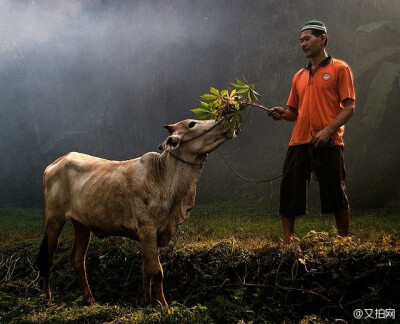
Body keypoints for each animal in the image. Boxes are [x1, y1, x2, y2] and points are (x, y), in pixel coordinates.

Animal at [36, 119, 234, 306]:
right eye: (192, 123)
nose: (226, 121)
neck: (163, 177)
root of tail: (55, 163)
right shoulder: (147, 228)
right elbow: (157, 271)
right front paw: (163, 306)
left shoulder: (152, 234)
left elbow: (146, 269)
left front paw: (145, 302)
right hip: (54, 219)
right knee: (48, 257)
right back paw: (47, 299)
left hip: (82, 225)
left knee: (78, 259)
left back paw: (90, 300)